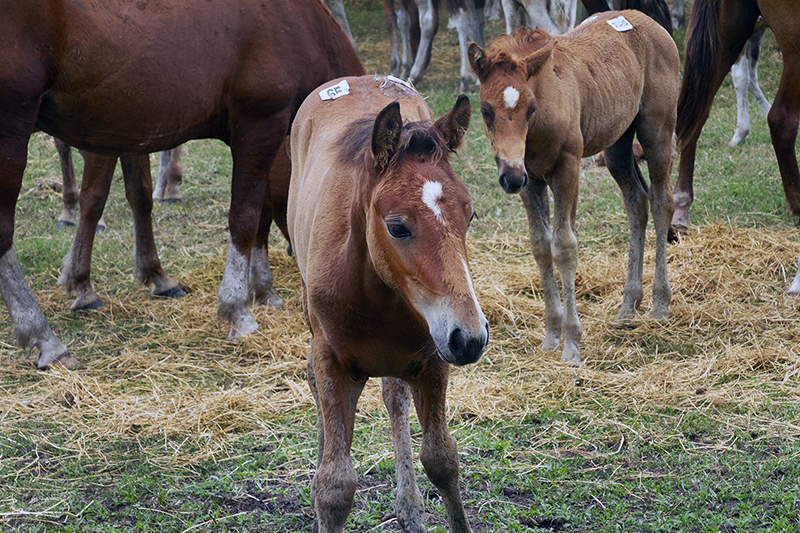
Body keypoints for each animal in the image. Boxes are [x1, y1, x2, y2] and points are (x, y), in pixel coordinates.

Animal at [1, 0, 364, 366]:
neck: (302, 27)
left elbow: (144, 197)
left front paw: (262, 289)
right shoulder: (259, 127)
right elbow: (245, 219)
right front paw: (238, 307)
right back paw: (43, 337)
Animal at [288, 74, 488, 532]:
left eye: (469, 216)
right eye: (397, 227)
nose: (470, 337)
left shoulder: (432, 359)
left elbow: (442, 459)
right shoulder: (331, 360)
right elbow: (334, 485)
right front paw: (321, 496)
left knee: (394, 398)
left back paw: (409, 508)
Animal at [468, 10, 680, 364]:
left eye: (531, 108)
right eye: (486, 111)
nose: (509, 178)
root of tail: (647, 20)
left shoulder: (567, 169)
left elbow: (565, 247)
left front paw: (571, 343)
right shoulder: (530, 181)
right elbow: (541, 246)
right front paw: (551, 335)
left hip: (657, 129)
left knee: (662, 200)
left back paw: (660, 302)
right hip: (617, 143)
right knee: (636, 201)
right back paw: (628, 304)